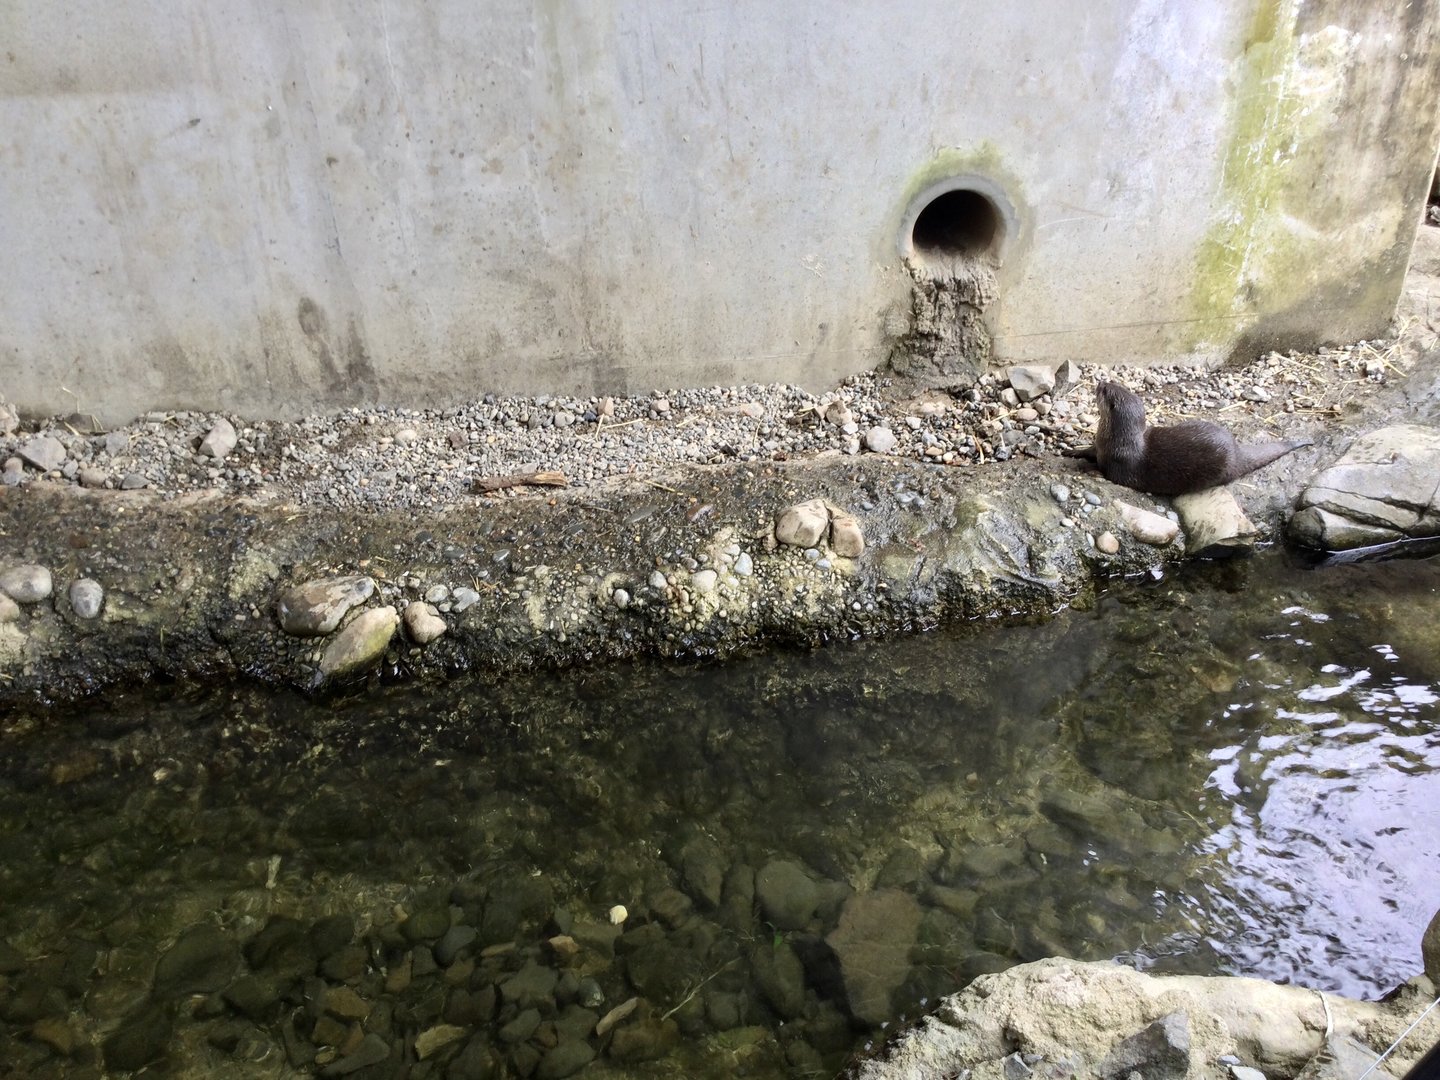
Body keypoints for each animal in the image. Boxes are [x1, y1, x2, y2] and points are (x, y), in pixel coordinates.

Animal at [1064, 381, 1311, 496]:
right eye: (1113, 385)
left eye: (1107, 392)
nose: (1101, 382)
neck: (1113, 440)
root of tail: (1237, 450)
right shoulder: (1099, 446)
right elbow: (1088, 450)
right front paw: (1072, 451)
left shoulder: (1119, 464)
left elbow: (1104, 473)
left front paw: (1086, 468)